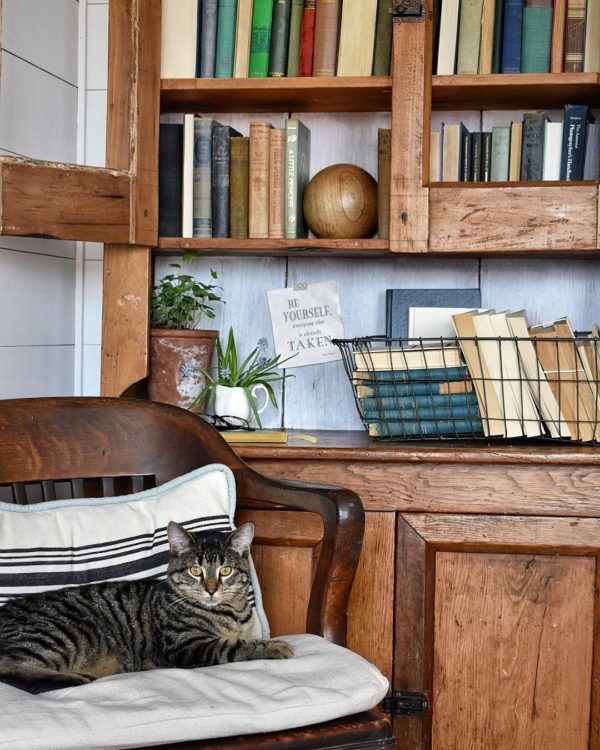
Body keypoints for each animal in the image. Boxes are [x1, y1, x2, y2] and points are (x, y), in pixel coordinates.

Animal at [0, 524, 292, 692]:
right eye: (196, 570)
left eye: (226, 570)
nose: (211, 589)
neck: (233, 614)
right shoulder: (187, 645)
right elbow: (234, 646)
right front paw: (275, 646)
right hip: (62, 633)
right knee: (10, 668)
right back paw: (75, 678)